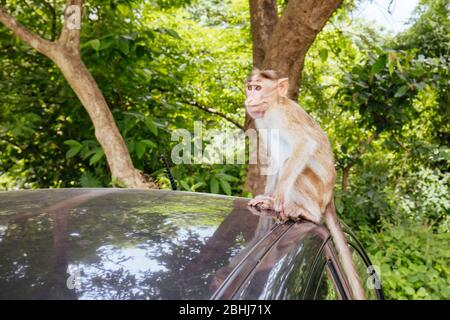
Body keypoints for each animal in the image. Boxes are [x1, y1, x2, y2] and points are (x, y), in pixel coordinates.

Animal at [246, 68, 366, 300]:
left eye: (258, 88)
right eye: (250, 87)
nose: (250, 97)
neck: (273, 105)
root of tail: (330, 197)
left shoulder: (282, 116)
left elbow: (305, 143)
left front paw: (276, 200)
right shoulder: (262, 122)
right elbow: (274, 159)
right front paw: (266, 198)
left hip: (317, 192)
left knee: (294, 166)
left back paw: (307, 212)